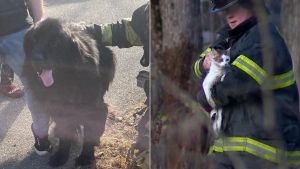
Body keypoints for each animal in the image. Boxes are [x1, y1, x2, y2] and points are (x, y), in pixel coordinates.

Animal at [22, 18, 116, 166]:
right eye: (34, 40)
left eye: (54, 43)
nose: (35, 58)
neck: (65, 82)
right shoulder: (59, 110)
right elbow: (64, 133)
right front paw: (61, 155)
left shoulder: (95, 109)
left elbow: (90, 134)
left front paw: (85, 156)